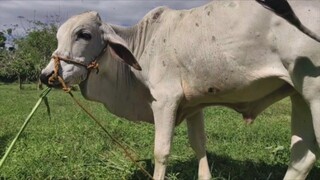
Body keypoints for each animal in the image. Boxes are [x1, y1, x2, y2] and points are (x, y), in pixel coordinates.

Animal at [40, 0, 320, 179]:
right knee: (301, 158)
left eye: (84, 34)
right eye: (57, 37)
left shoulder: (165, 100)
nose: (47, 76)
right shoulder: (194, 104)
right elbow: (198, 144)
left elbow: (161, 151)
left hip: (315, 96)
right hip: (299, 96)